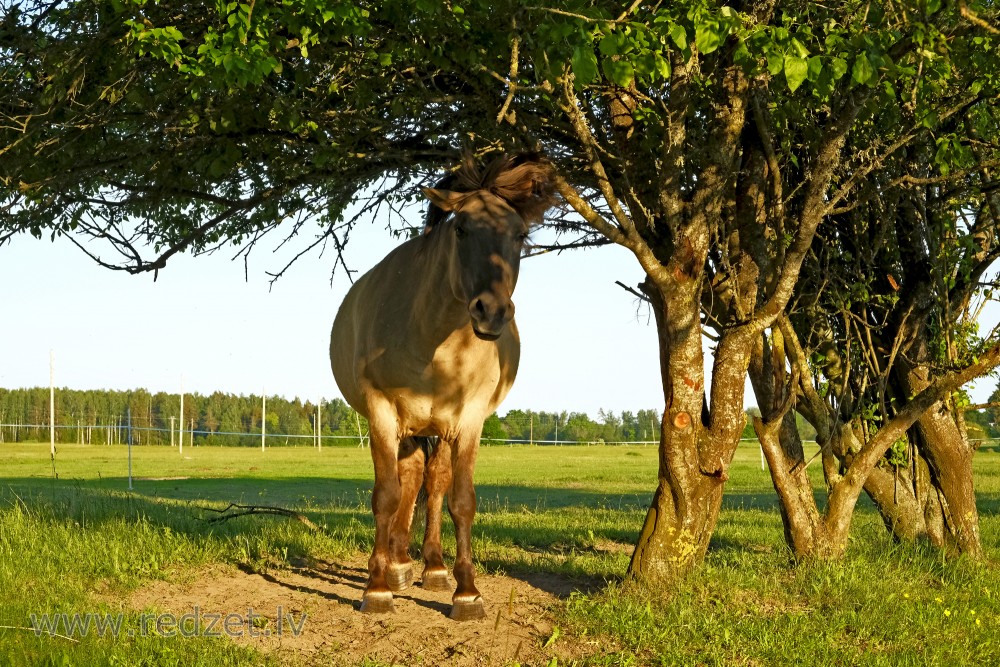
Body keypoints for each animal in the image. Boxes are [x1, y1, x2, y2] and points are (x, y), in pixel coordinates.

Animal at [330, 151, 556, 620]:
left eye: (521, 234)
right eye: (461, 228)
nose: (492, 312)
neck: (434, 340)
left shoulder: (469, 422)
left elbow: (460, 499)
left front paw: (467, 593)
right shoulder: (382, 413)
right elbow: (387, 495)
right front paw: (377, 588)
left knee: (432, 483)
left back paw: (432, 567)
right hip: (410, 426)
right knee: (411, 478)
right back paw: (398, 565)